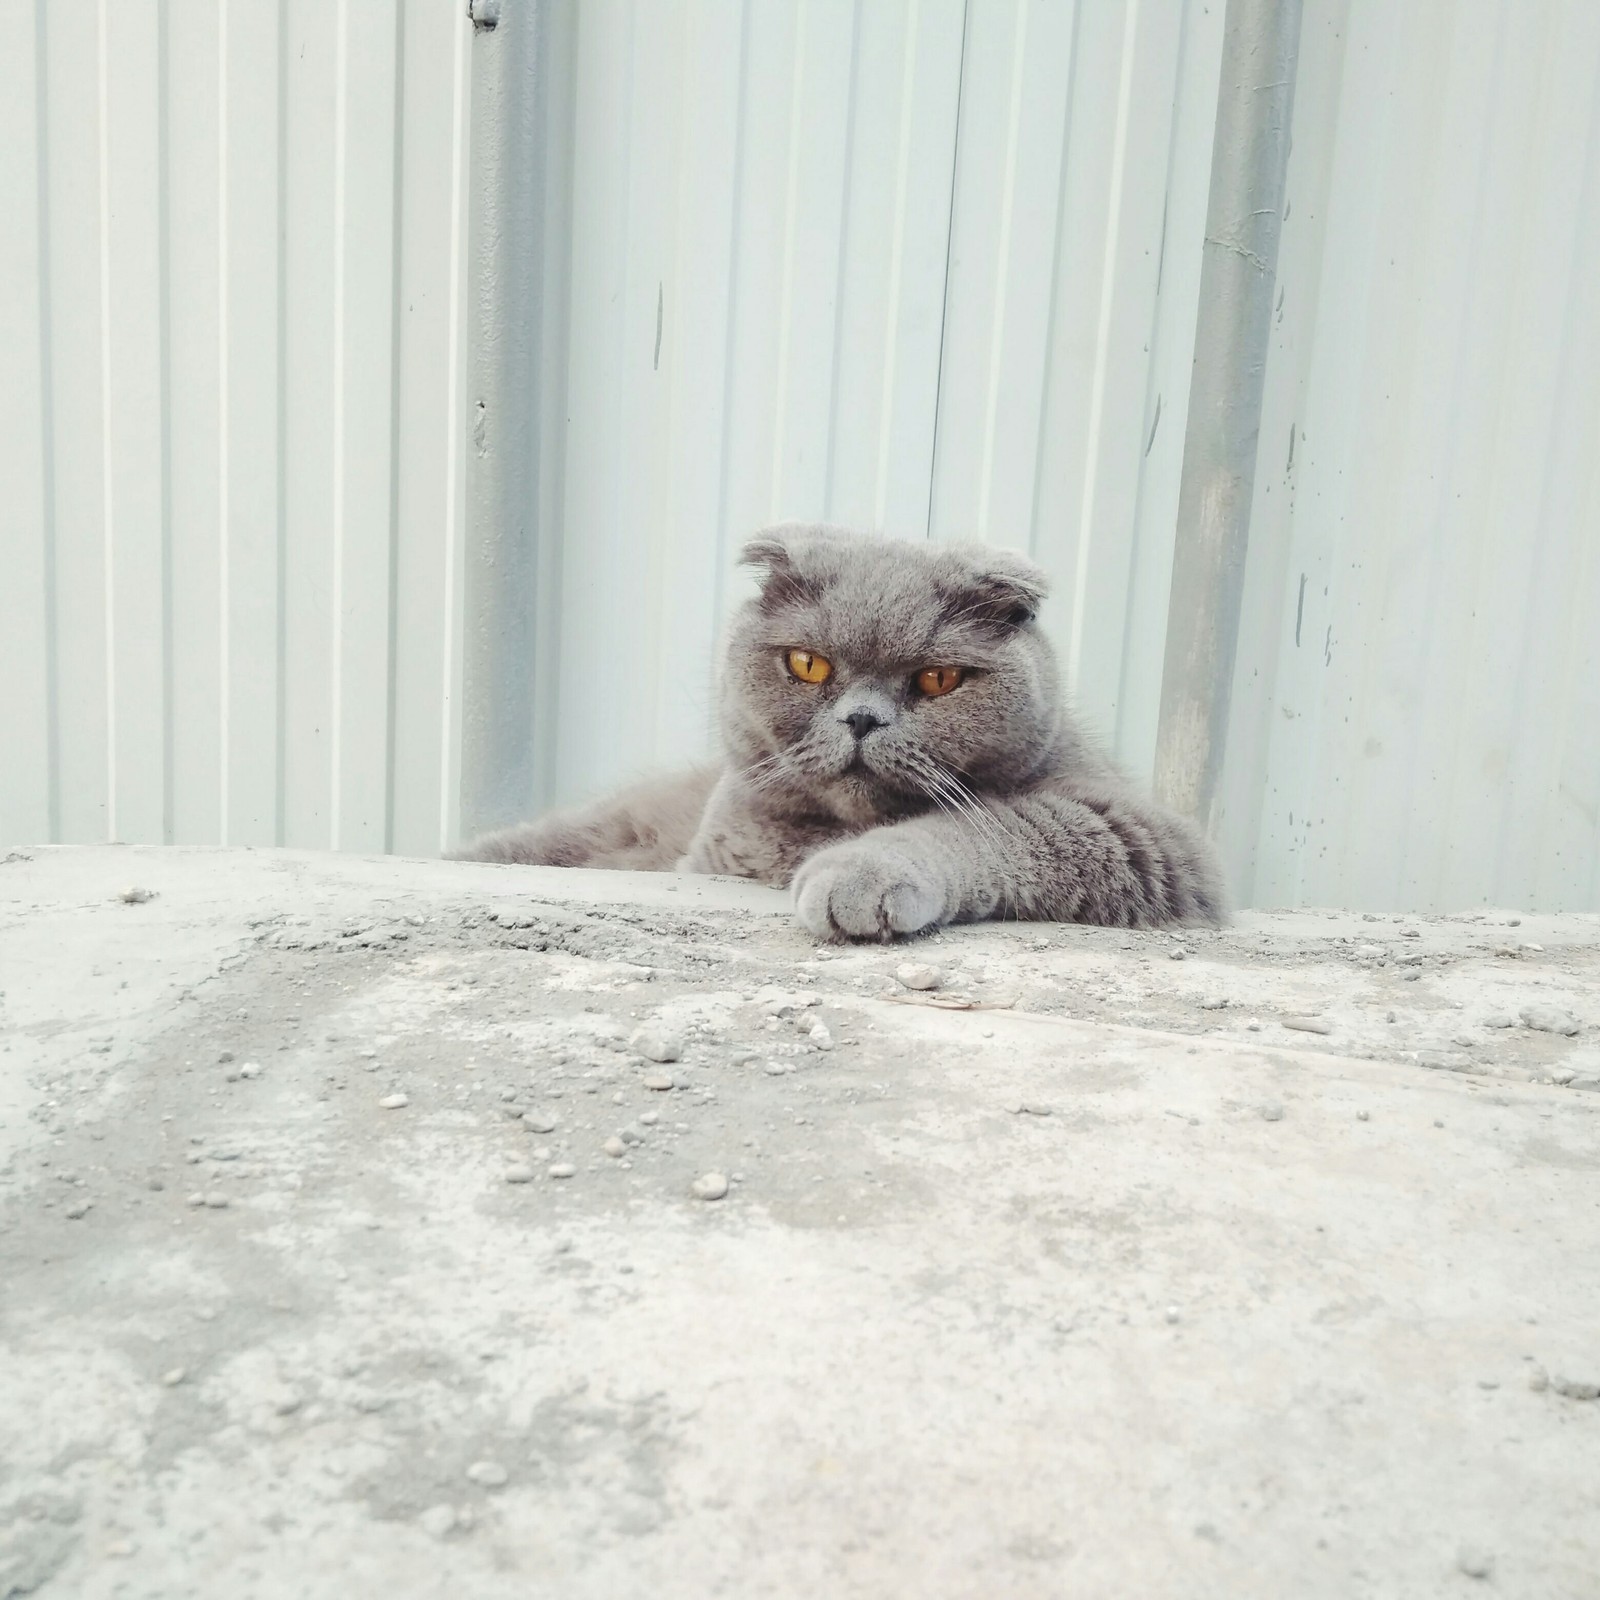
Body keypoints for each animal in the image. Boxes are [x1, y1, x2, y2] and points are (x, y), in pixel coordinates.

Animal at [457, 524, 1228, 934]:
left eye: (937, 679)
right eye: (809, 664)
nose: (860, 718)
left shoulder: (1141, 831)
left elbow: (985, 828)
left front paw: (858, 873)